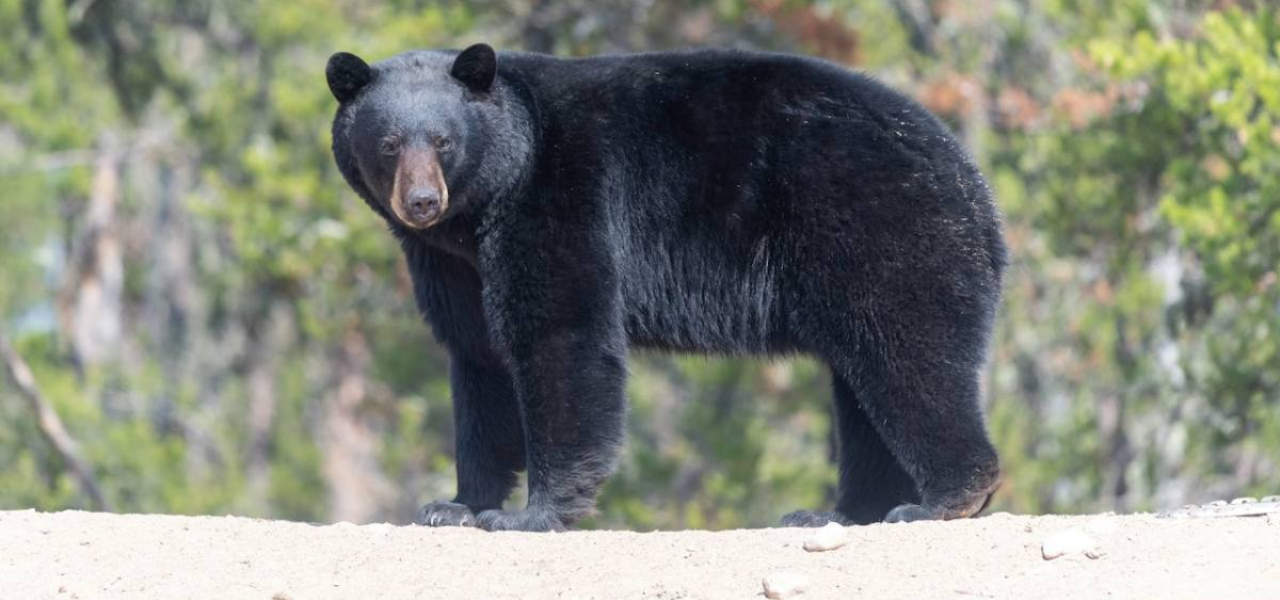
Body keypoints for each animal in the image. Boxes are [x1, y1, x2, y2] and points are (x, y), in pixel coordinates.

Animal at [326, 43, 1007, 532]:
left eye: (444, 141)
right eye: (389, 143)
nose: (421, 201)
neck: (485, 202)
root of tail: (976, 190)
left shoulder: (561, 196)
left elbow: (560, 333)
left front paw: (528, 515)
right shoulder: (451, 263)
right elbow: (478, 357)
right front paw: (455, 504)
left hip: (881, 232)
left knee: (909, 358)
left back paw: (941, 499)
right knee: (863, 389)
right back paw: (837, 512)